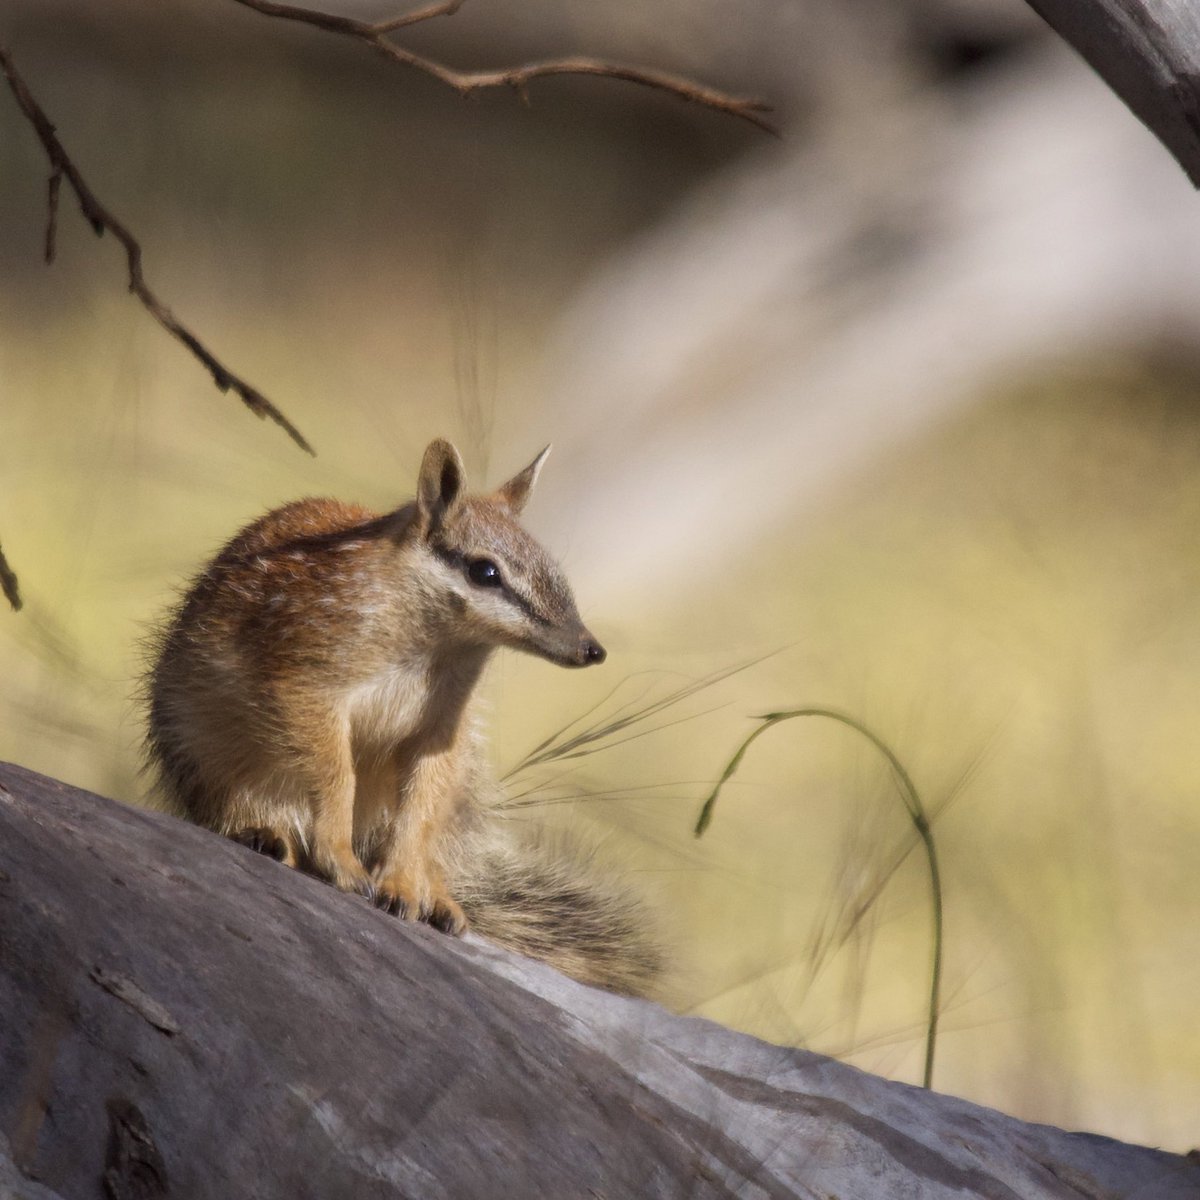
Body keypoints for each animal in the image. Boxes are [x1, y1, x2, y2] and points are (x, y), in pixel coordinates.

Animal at [144, 438, 660, 995]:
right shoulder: (306, 686)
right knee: (232, 807)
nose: (591, 649)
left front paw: (404, 884)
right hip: (205, 753)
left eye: (555, 568)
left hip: (466, 782)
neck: (434, 650)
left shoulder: (443, 734)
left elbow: (419, 807)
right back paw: (265, 834)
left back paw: (438, 895)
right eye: (485, 571)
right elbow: (336, 774)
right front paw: (341, 860)